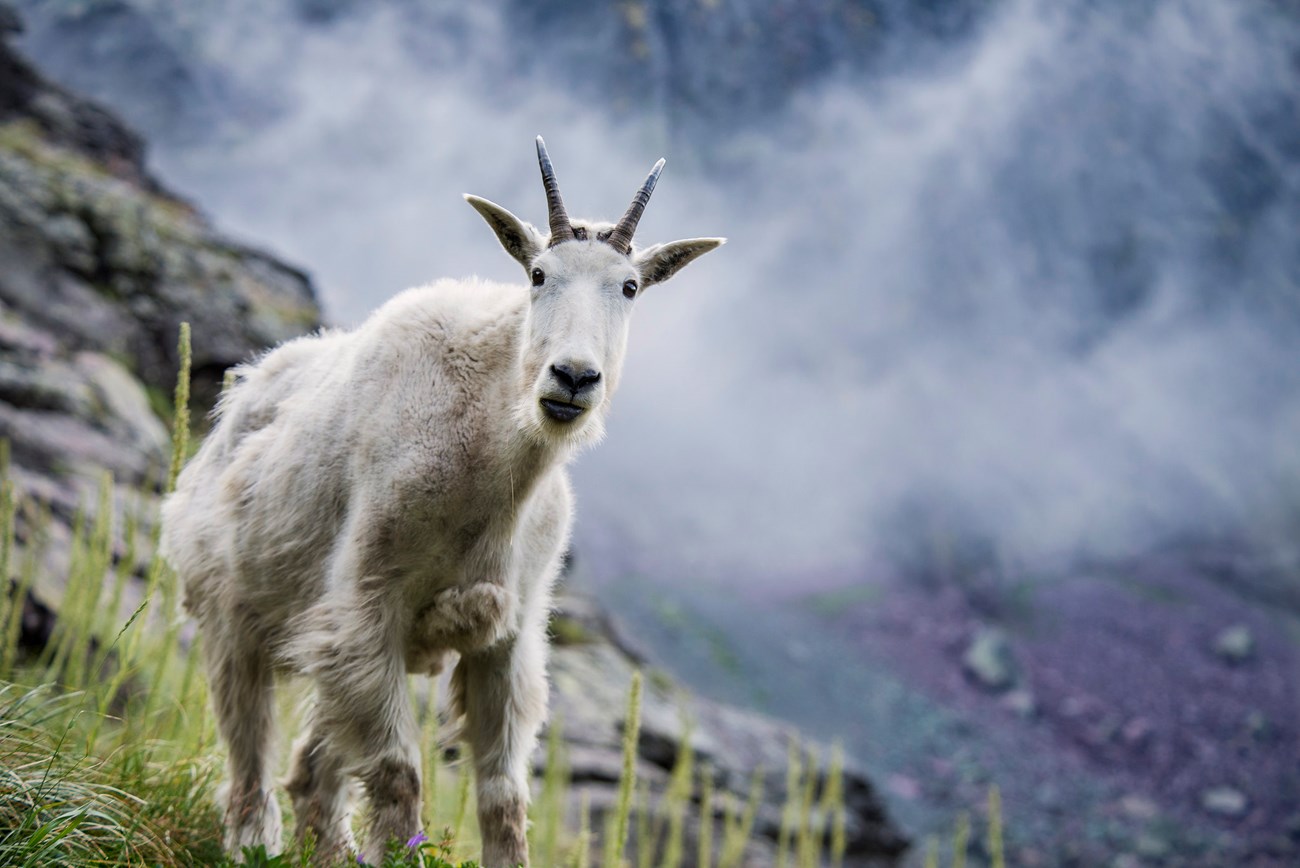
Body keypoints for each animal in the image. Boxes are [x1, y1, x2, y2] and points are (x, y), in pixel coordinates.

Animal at [160, 137, 723, 866]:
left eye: (629, 287)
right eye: (537, 275)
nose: (573, 378)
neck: (491, 469)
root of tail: (238, 399)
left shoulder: (506, 637)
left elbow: (504, 797)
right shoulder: (368, 605)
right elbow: (400, 775)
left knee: (314, 768)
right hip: (232, 611)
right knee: (250, 746)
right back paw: (252, 840)